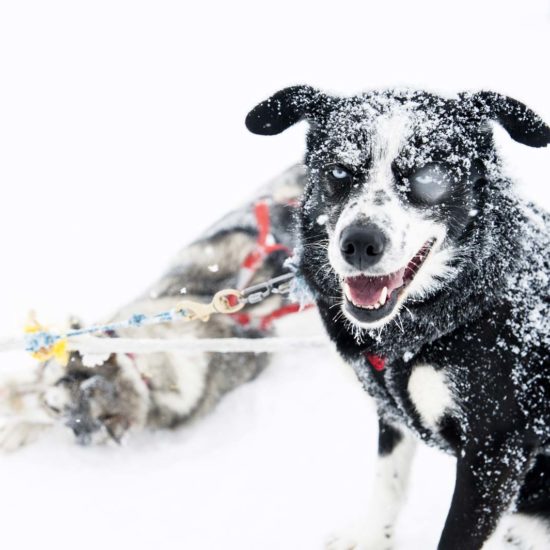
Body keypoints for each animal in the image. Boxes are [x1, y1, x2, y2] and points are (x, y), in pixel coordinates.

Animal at [248, 88, 548, 548]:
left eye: (428, 179)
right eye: (339, 170)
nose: (359, 243)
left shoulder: (494, 451)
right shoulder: (390, 413)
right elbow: (387, 486)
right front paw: (374, 535)